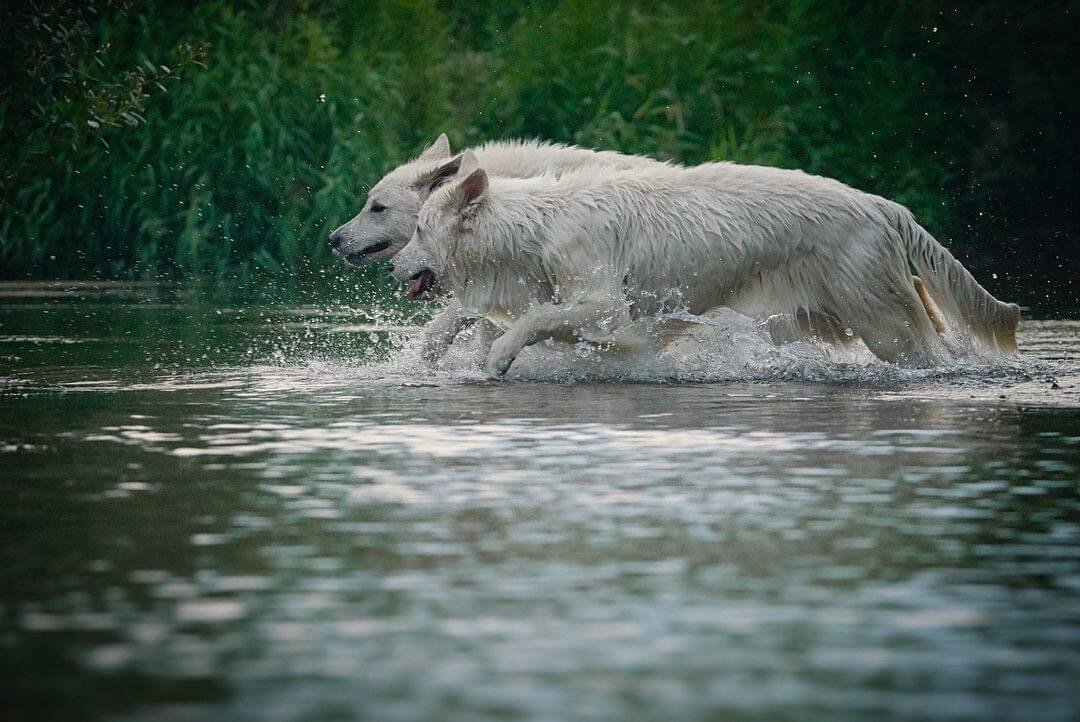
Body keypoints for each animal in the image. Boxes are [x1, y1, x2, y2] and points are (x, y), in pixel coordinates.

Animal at [393, 154, 1015, 375]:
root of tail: (885, 206)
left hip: (881, 320)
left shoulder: (602, 301)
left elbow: (538, 320)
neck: (538, 230)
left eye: (419, 229)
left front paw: (498, 357)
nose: (394, 267)